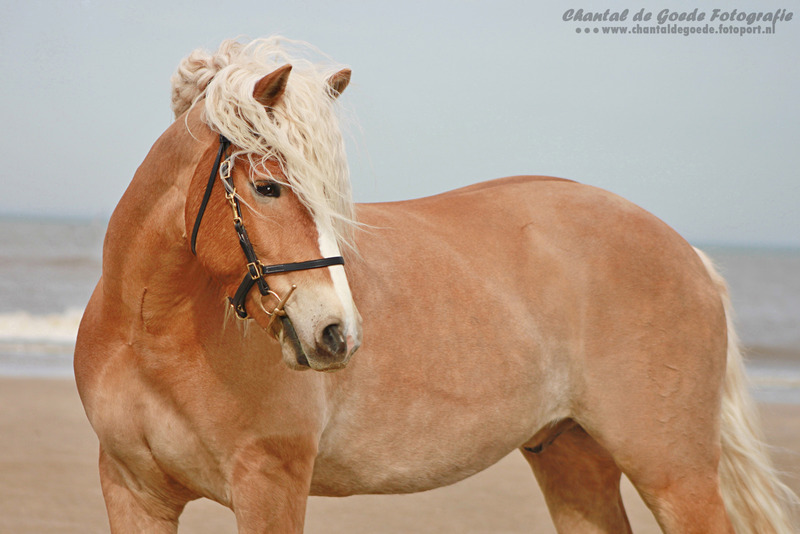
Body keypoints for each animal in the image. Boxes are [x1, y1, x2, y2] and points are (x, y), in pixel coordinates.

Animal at [74, 37, 797, 533]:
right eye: (268, 186)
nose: (336, 334)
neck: (155, 336)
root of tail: (686, 251)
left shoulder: (269, 485)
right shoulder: (132, 491)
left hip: (675, 474)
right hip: (572, 458)